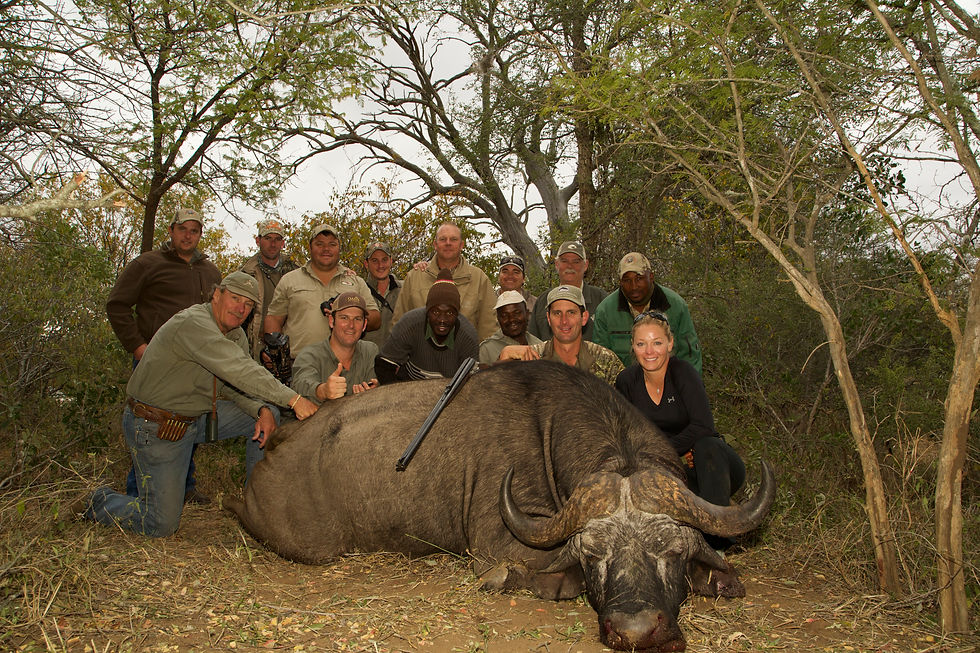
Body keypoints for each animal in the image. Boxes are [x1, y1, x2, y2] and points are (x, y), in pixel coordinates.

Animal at [224, 360, 775, 651]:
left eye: (673, 552)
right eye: (593, 557)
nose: (634, 631)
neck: (546, 425)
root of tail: (272, 452)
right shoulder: (496, 541)